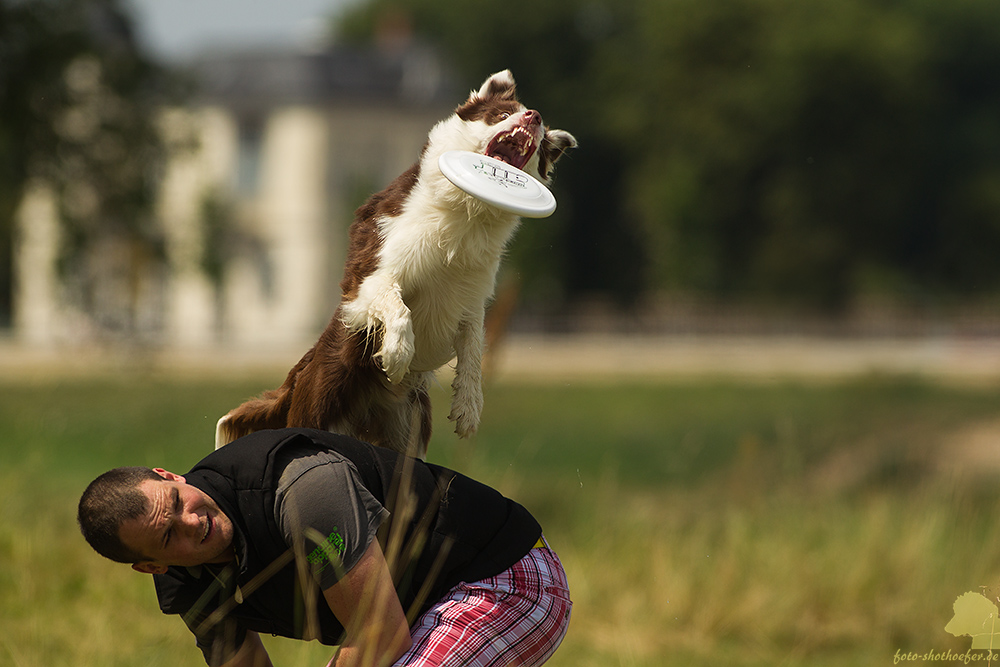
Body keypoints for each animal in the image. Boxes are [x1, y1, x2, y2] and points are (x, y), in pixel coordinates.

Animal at [217, 72, 580, 460]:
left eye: (540, 140)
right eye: (500, 115)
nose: (534, 116)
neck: (466, 211)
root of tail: (299, 373)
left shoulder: (472, 299)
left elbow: (473, 349)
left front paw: (469, 407)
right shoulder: (370, 276)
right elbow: (398, 307)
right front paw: (396, 354)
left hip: (410, 428)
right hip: (320, 408)